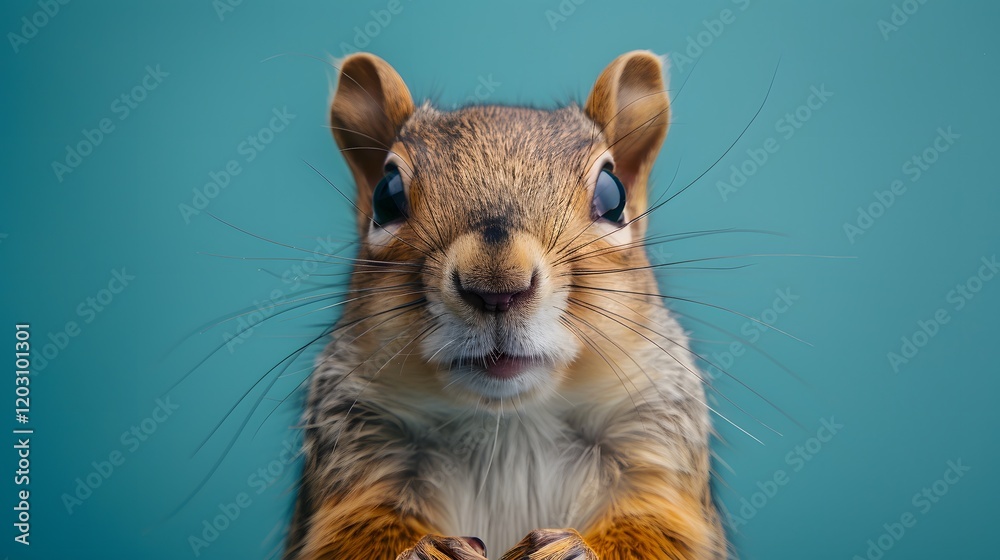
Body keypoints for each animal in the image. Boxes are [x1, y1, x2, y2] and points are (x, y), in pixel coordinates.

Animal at [283, 51, 725, 560]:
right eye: (386, 196)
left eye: (612, 195)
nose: (497, 286)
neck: (508, 424)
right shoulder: (358, 455)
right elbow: (349, 536)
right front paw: (428, 550)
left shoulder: (654, 450)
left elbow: (659, 532)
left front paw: (570, 549)